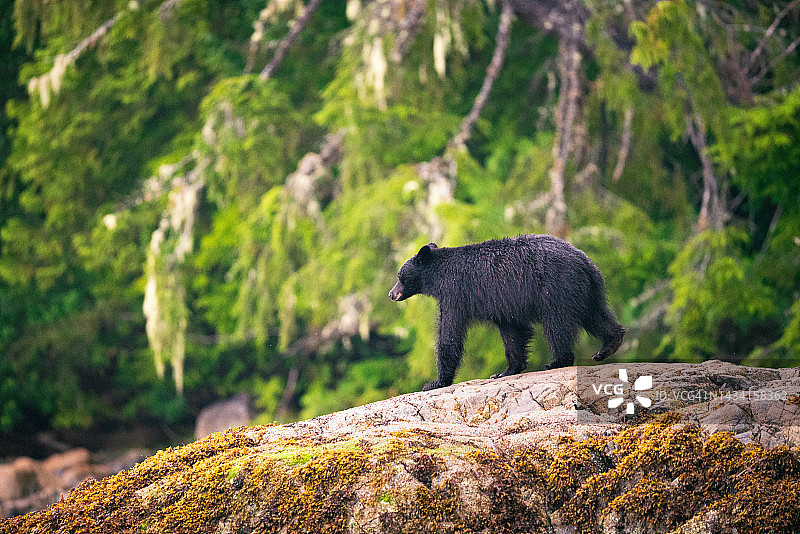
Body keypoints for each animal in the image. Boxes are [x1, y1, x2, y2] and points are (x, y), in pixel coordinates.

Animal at [389, 234, 625, 391]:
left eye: (400, 276)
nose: (391, 294)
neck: (437, 275)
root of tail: (584, 260)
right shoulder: (503, 303)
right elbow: (512, 333)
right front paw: (505, 371)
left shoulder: (455, 293)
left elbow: (449, 334)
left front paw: (435, 382)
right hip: (586, 289)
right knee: (595, 315)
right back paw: (608, 345)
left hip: (556, 287)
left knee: (557, 325)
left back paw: (557, 361)